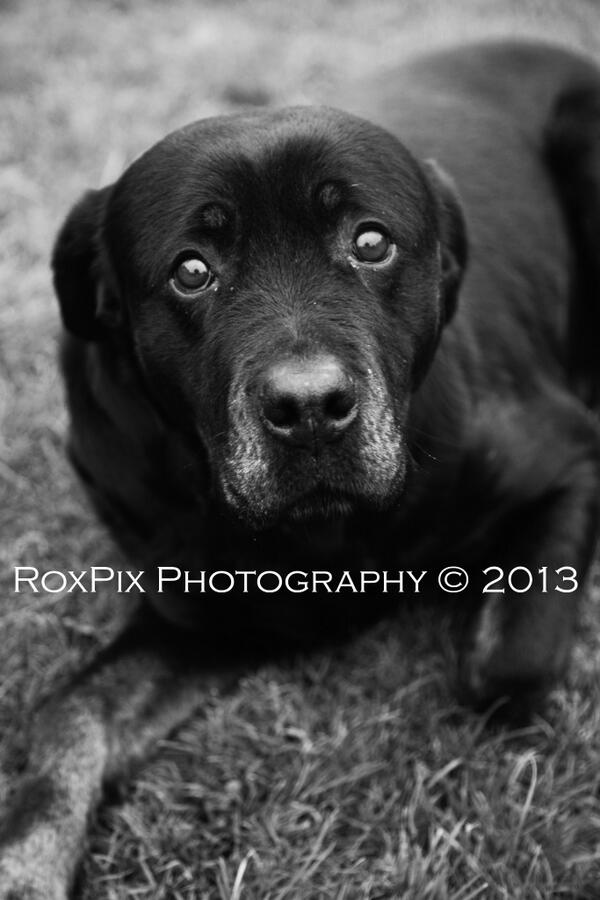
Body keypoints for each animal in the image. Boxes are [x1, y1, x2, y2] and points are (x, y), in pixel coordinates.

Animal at [1, 37, 600, 900]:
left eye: (371, 242)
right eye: (191, 269)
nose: (310, 407)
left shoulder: (568, 453)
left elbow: (507, 667)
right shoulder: (203, 609)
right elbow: (69, 716)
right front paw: (24, 863)